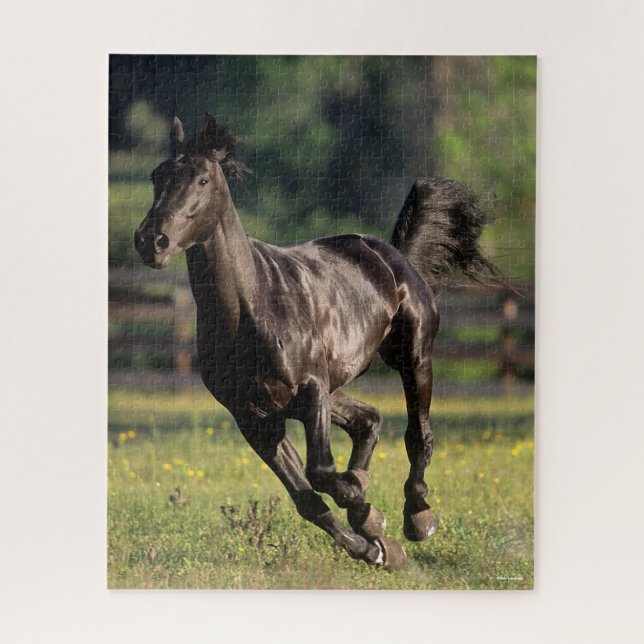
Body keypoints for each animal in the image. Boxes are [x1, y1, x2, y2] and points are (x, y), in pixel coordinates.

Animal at [134, 114, 498, 570]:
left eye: (202, 178)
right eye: (157, 175)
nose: (151, 241)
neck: (253, 308)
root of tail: (392, 255)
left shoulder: (310, 391)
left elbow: (322, 471)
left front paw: (368, 511)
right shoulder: (255, 418)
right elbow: (309, 498)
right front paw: (376, 546)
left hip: (412, 358)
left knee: (419, 436)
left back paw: (418, 518)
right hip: (332, 388)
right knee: (368, 420)